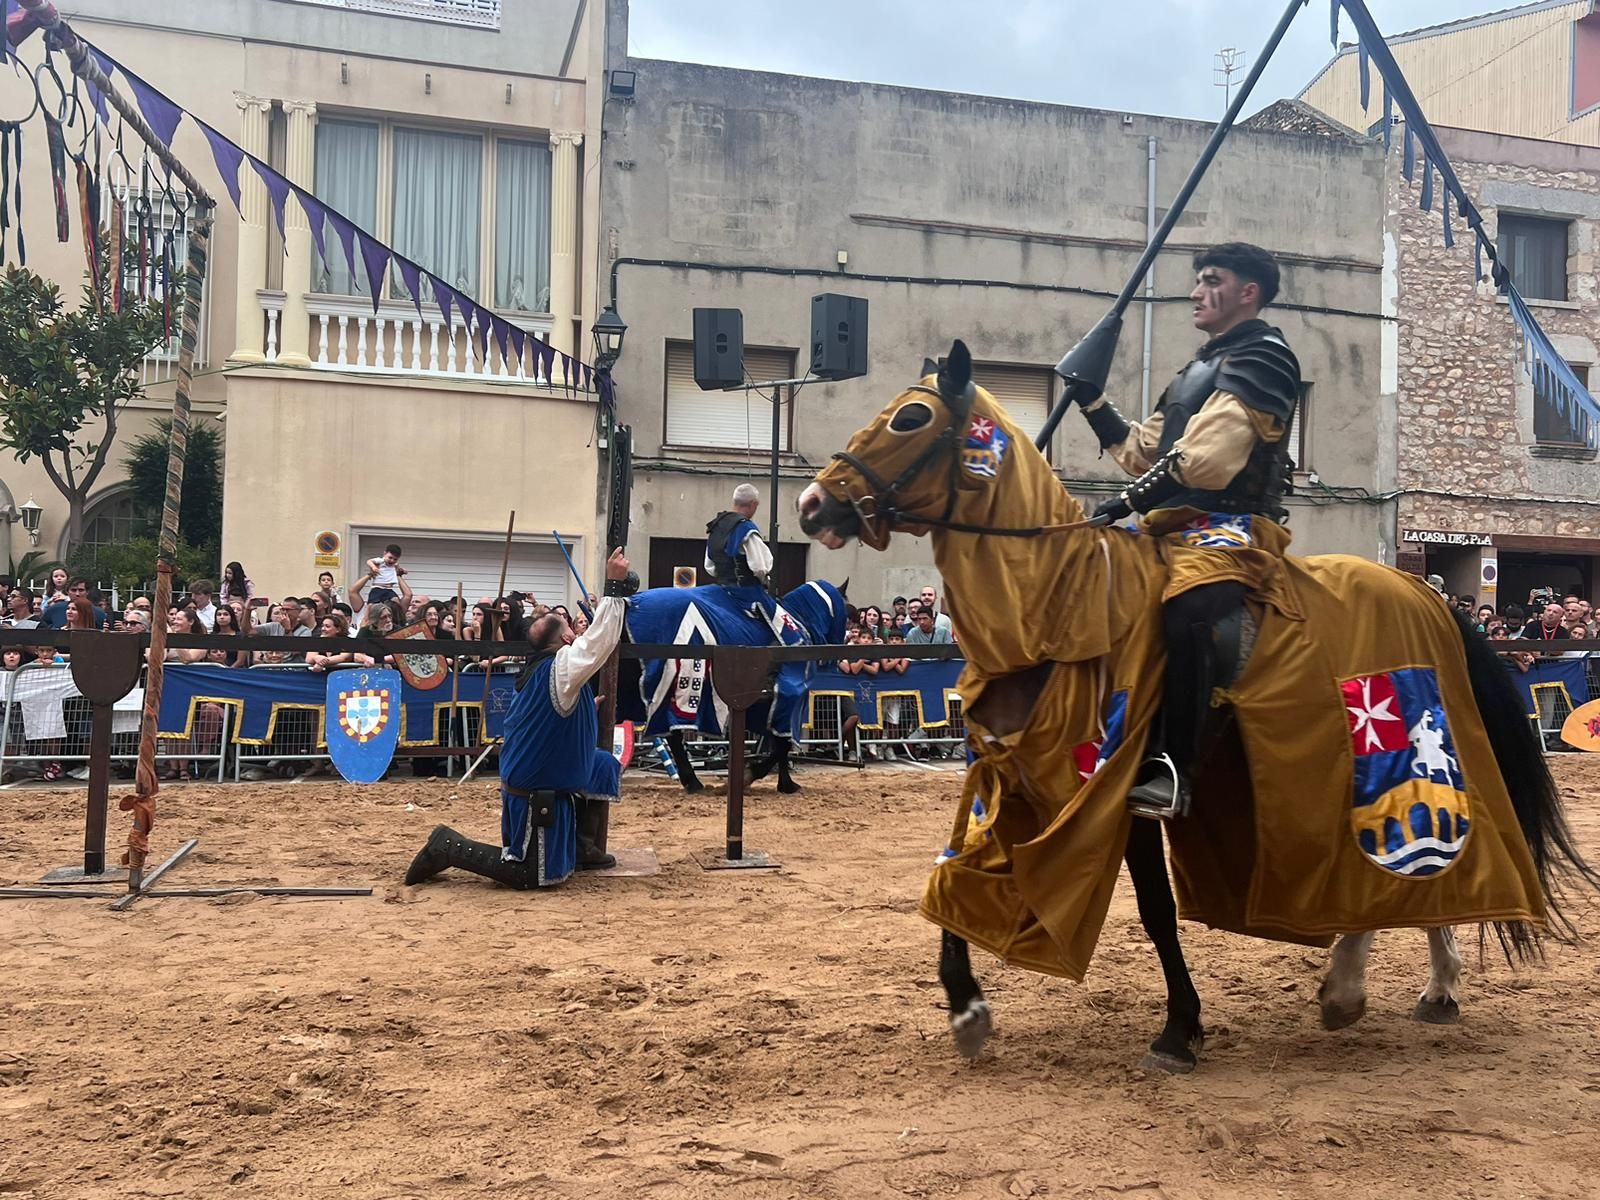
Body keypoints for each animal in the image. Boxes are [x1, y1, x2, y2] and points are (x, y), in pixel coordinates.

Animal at [620, 579, 851, 793]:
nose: (839, 657)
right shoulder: (790, 699)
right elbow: (782, 746)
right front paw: (753, 775)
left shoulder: (771, 706)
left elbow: (779, 743)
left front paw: (785, 782)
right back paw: (692, 781)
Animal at [793, 342, 1593, 1075]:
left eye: (912, 418)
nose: (812, 504)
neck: (1060, 608)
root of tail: (1428, 594)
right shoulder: (1007, 777)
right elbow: (953, 868)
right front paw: (966, 1007)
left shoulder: (1115, 788)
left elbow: (1154, 908)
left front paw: (1182, 1027)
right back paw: (1424, 986)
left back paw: (1355, 985)